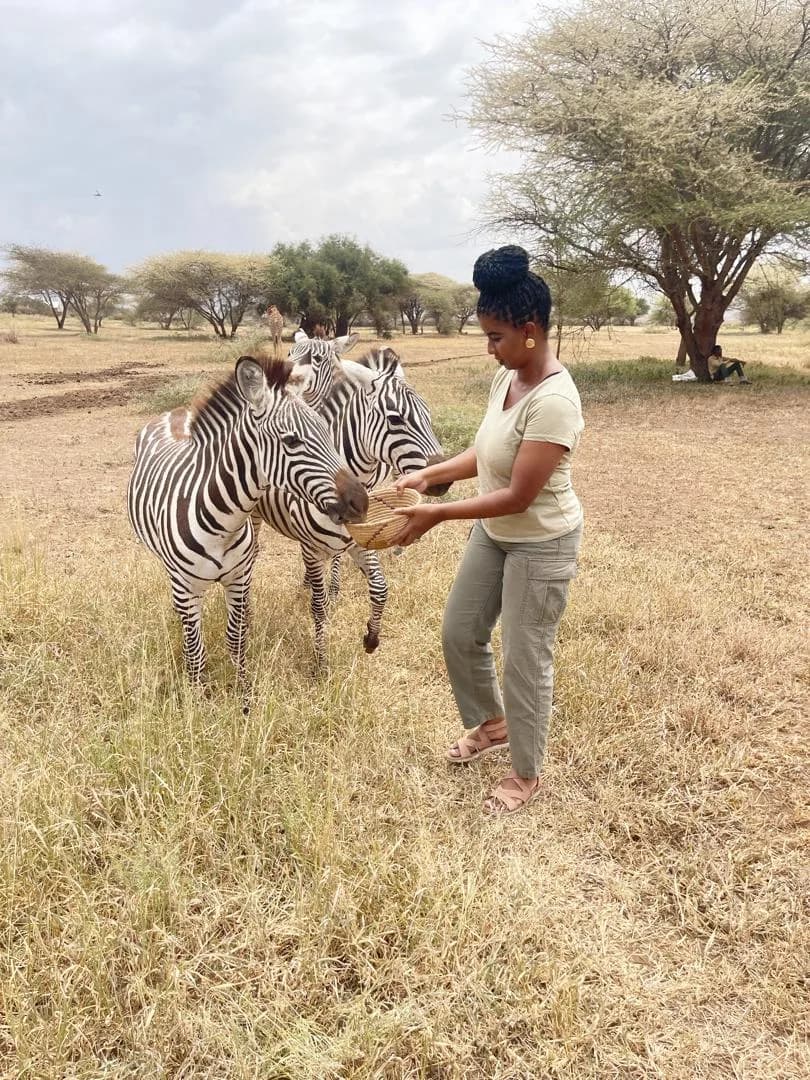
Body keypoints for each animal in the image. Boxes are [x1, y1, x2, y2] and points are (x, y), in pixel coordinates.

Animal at [127, 355, 368, 690]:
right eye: (291, 440)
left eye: (326, 431)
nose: (362, 502)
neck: (222, 525)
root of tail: (175, 411)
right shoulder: (187, 588)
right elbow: (196, 650)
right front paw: (197, 694)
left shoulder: (239, 579)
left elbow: (236, 640)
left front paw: (243, 693)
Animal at [254, 345, 450, 664]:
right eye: (396, 419)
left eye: (428, 415)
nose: (443, 481)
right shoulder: (312, 547)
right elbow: (318, 607)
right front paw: (320, 661)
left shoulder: (360, 539)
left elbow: (380, 588)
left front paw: (371, 636)